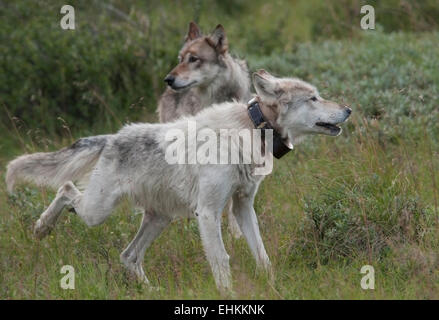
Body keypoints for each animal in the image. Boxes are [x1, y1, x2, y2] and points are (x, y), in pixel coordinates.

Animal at [6, 70, 350, 292]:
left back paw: (152, 291)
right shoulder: (208, 212)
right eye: (314, 98)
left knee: (128, 256)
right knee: (66, 190)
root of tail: (112, 137)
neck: (251, 129)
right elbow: (222, 260)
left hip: (160, 218)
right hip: (97, 212)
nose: (348, 109)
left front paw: (273, 286)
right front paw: (228, 294)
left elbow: (262, 256)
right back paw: (41, 227)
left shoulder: (242, 208)